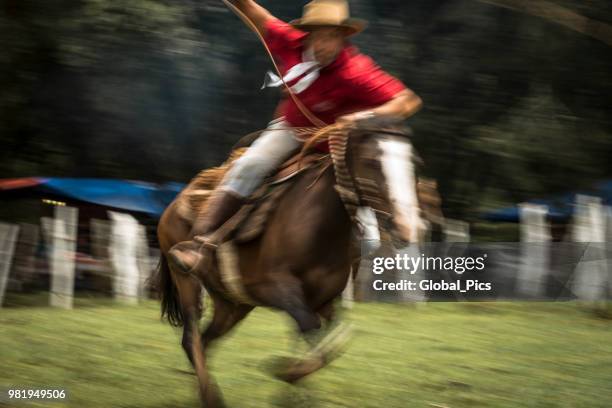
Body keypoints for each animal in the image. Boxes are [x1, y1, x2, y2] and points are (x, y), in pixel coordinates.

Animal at [153, 122, 426, 406]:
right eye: (371, 161)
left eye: (415, 164)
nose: (407, 227)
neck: (320, 226)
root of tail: (175, 203)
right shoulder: (279, 289)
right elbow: (314, 331)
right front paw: (285, 374)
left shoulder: (324, 300)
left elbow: (335, 340)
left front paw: (289, 383)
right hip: (187, 282)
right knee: (191, 337)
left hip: (233, 304)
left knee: (205, 340)